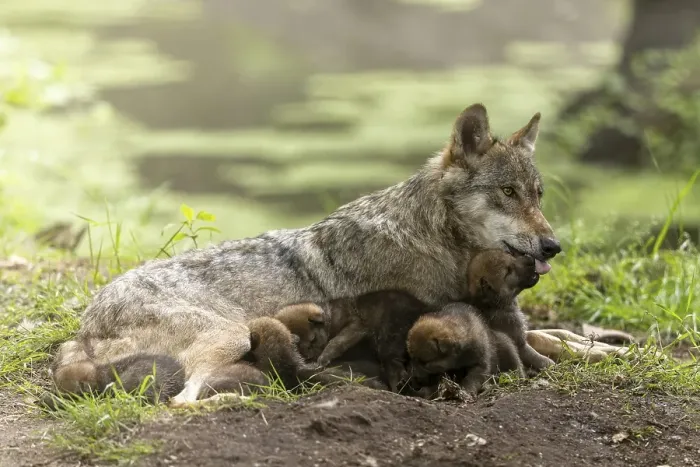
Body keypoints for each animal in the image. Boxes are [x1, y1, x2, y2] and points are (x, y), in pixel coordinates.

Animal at [50, 103, 561, 405]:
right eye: (508, 192)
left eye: (538, 195)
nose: (555, 245)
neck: (431, 236)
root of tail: (87, 324)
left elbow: (550, 336)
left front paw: (575, 345)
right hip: (230, 334)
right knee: (181, 402)